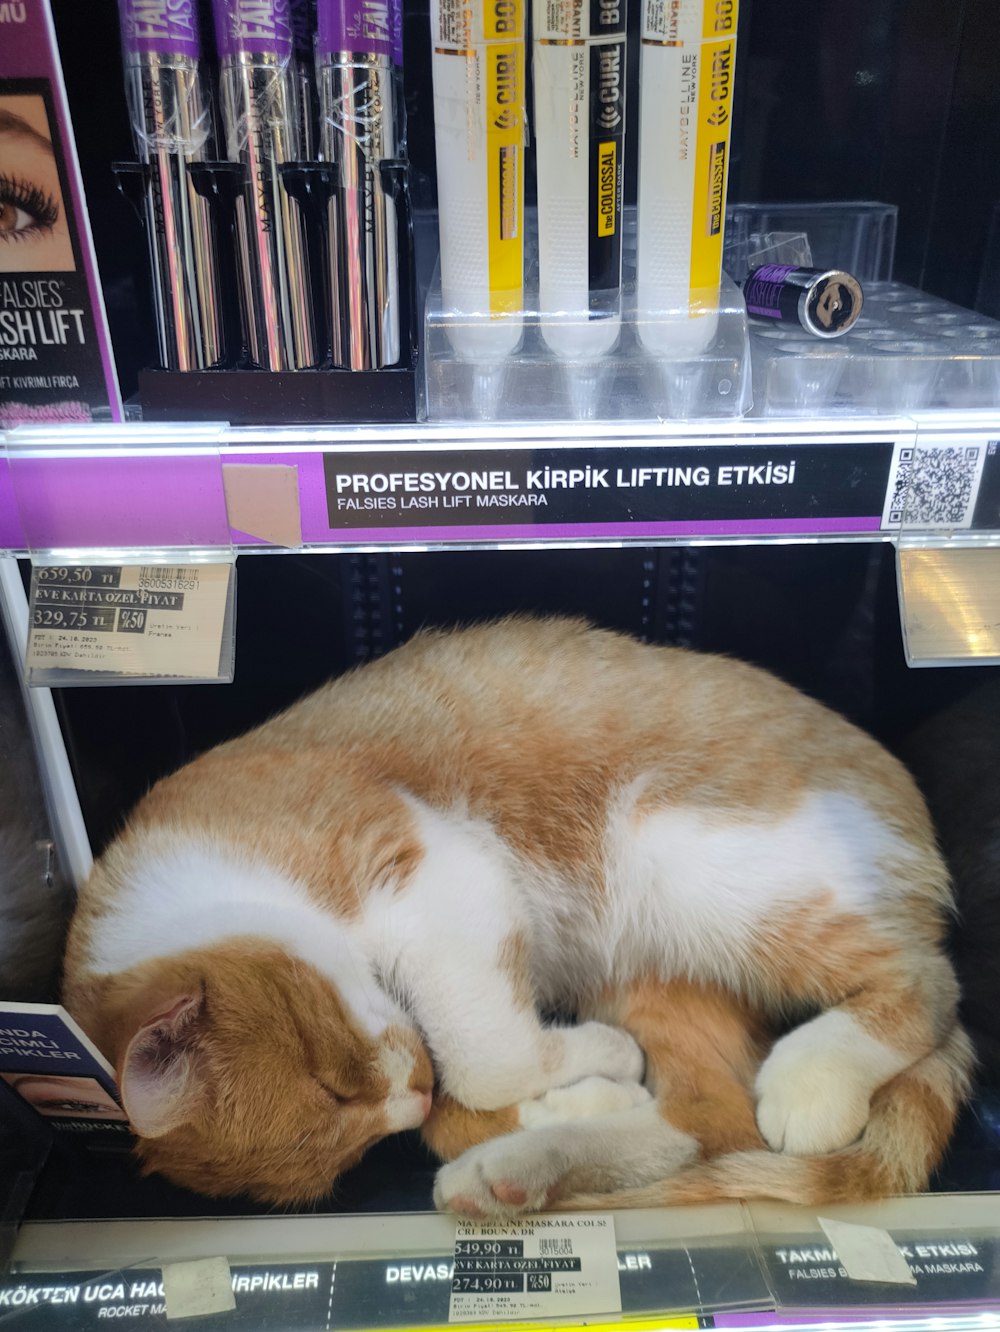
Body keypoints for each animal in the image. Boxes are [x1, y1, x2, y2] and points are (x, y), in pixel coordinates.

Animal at [60, 618, 969, 1214]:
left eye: (333, 1084)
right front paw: (575, 1095)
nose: (412, 1096)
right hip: (648, 965)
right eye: (350, 1142)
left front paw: (580, 1070)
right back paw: (528, 1164)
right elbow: (466, 1097)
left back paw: (814, 1076)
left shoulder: (438, 869)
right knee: (711, 1117)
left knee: (928, 984)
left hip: (688, 856)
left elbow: (485, 1057)